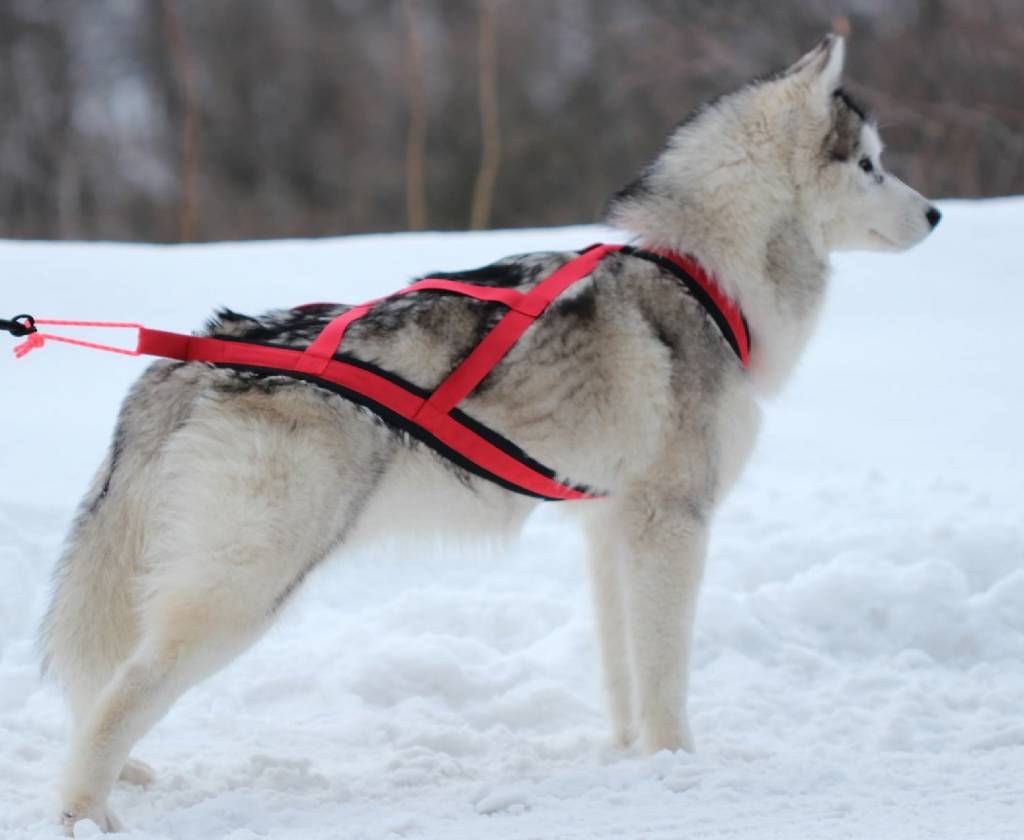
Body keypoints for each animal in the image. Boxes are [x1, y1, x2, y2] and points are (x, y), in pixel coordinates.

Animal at [44, 36, 937, 831]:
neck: (704, 272)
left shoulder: (612, 529)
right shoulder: (672, 525)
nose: (935, 212)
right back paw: (87, 811)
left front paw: (627, 761)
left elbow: (625, 671)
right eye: (869, 164)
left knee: (104, 682)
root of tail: (198, 353)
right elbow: (666, 672)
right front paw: (675, 764)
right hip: (246, 586)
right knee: (128, 686)